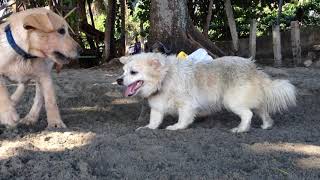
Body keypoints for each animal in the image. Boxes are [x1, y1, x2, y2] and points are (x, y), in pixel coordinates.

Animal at [117, 52, 296, 133]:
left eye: (133, 72)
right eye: (123, 72)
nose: (119, 80)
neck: (165, 78)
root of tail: (253, 68)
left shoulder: (186, 105)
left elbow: (183, 119)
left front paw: (177, 127)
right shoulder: (157, 108)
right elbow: (154, 121)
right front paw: (148, 128)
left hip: (232, 102)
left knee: (248, 114)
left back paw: (241, 129)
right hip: (253, 100)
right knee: (263, 111)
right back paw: (266, 125)